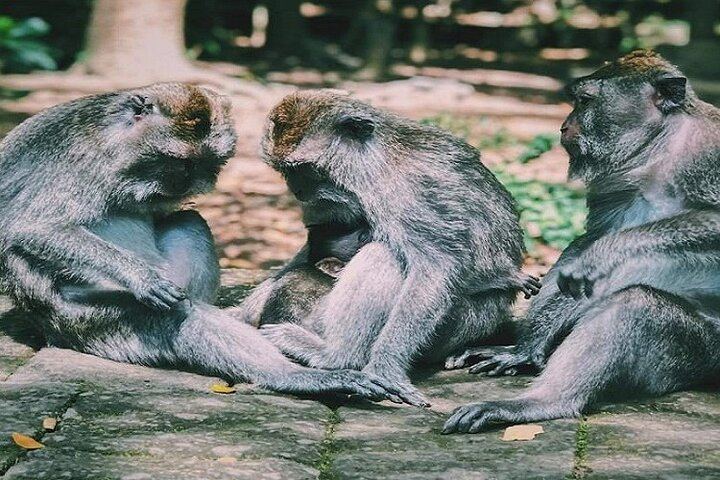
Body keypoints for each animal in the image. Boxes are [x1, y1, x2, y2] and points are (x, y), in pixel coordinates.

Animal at [0, 83, 417, 404]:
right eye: (176, 163)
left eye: (200, 165)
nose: (182, 185)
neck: (116, 142)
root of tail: (52, 332)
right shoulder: (83, 158)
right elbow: (32, 227)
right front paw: (141, 278)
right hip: (88, 321)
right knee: (176, 319)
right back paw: (294, 377)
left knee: (189, 225)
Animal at [228, 90, 540, 405]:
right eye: (284, 171)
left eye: (302, 169)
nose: (297, 191)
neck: (374, 161)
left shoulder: (406, 190)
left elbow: (436, 268)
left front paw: (385, 369)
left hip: (450, 329)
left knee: (383, 255)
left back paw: (335, 356)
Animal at [443, 50, 720, 434]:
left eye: (586, 101)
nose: (563, 126)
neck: (662, 150)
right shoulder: (613, 184)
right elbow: (588, 244)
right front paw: (526, 347)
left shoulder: (708, 154)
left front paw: (606, 253)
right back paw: (526, 352)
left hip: (701, 353)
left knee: (635, 306)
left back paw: (541, 403)